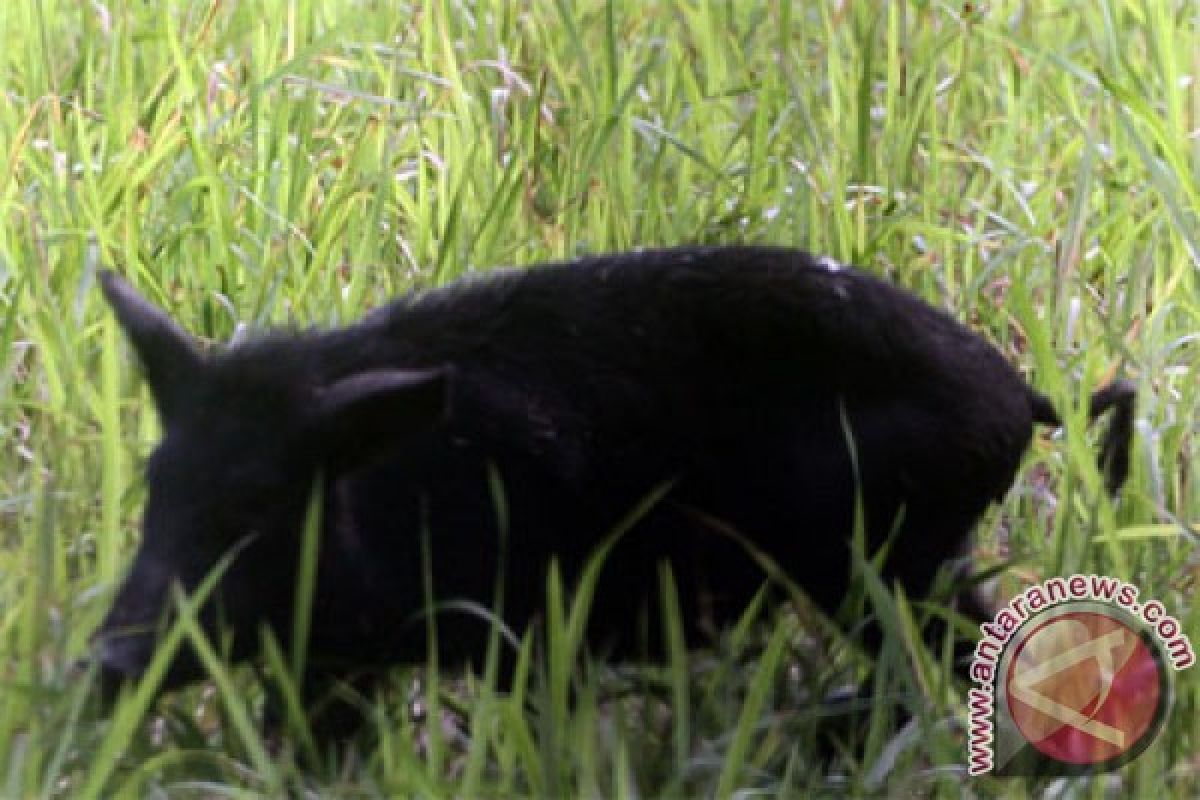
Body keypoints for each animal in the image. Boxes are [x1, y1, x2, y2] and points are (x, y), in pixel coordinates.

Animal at [93, 245, 1132, 700]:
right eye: (154, 484)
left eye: (262, 504)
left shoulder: (523, 634)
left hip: (885, 563)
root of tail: (1022, 395)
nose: (106, 661)